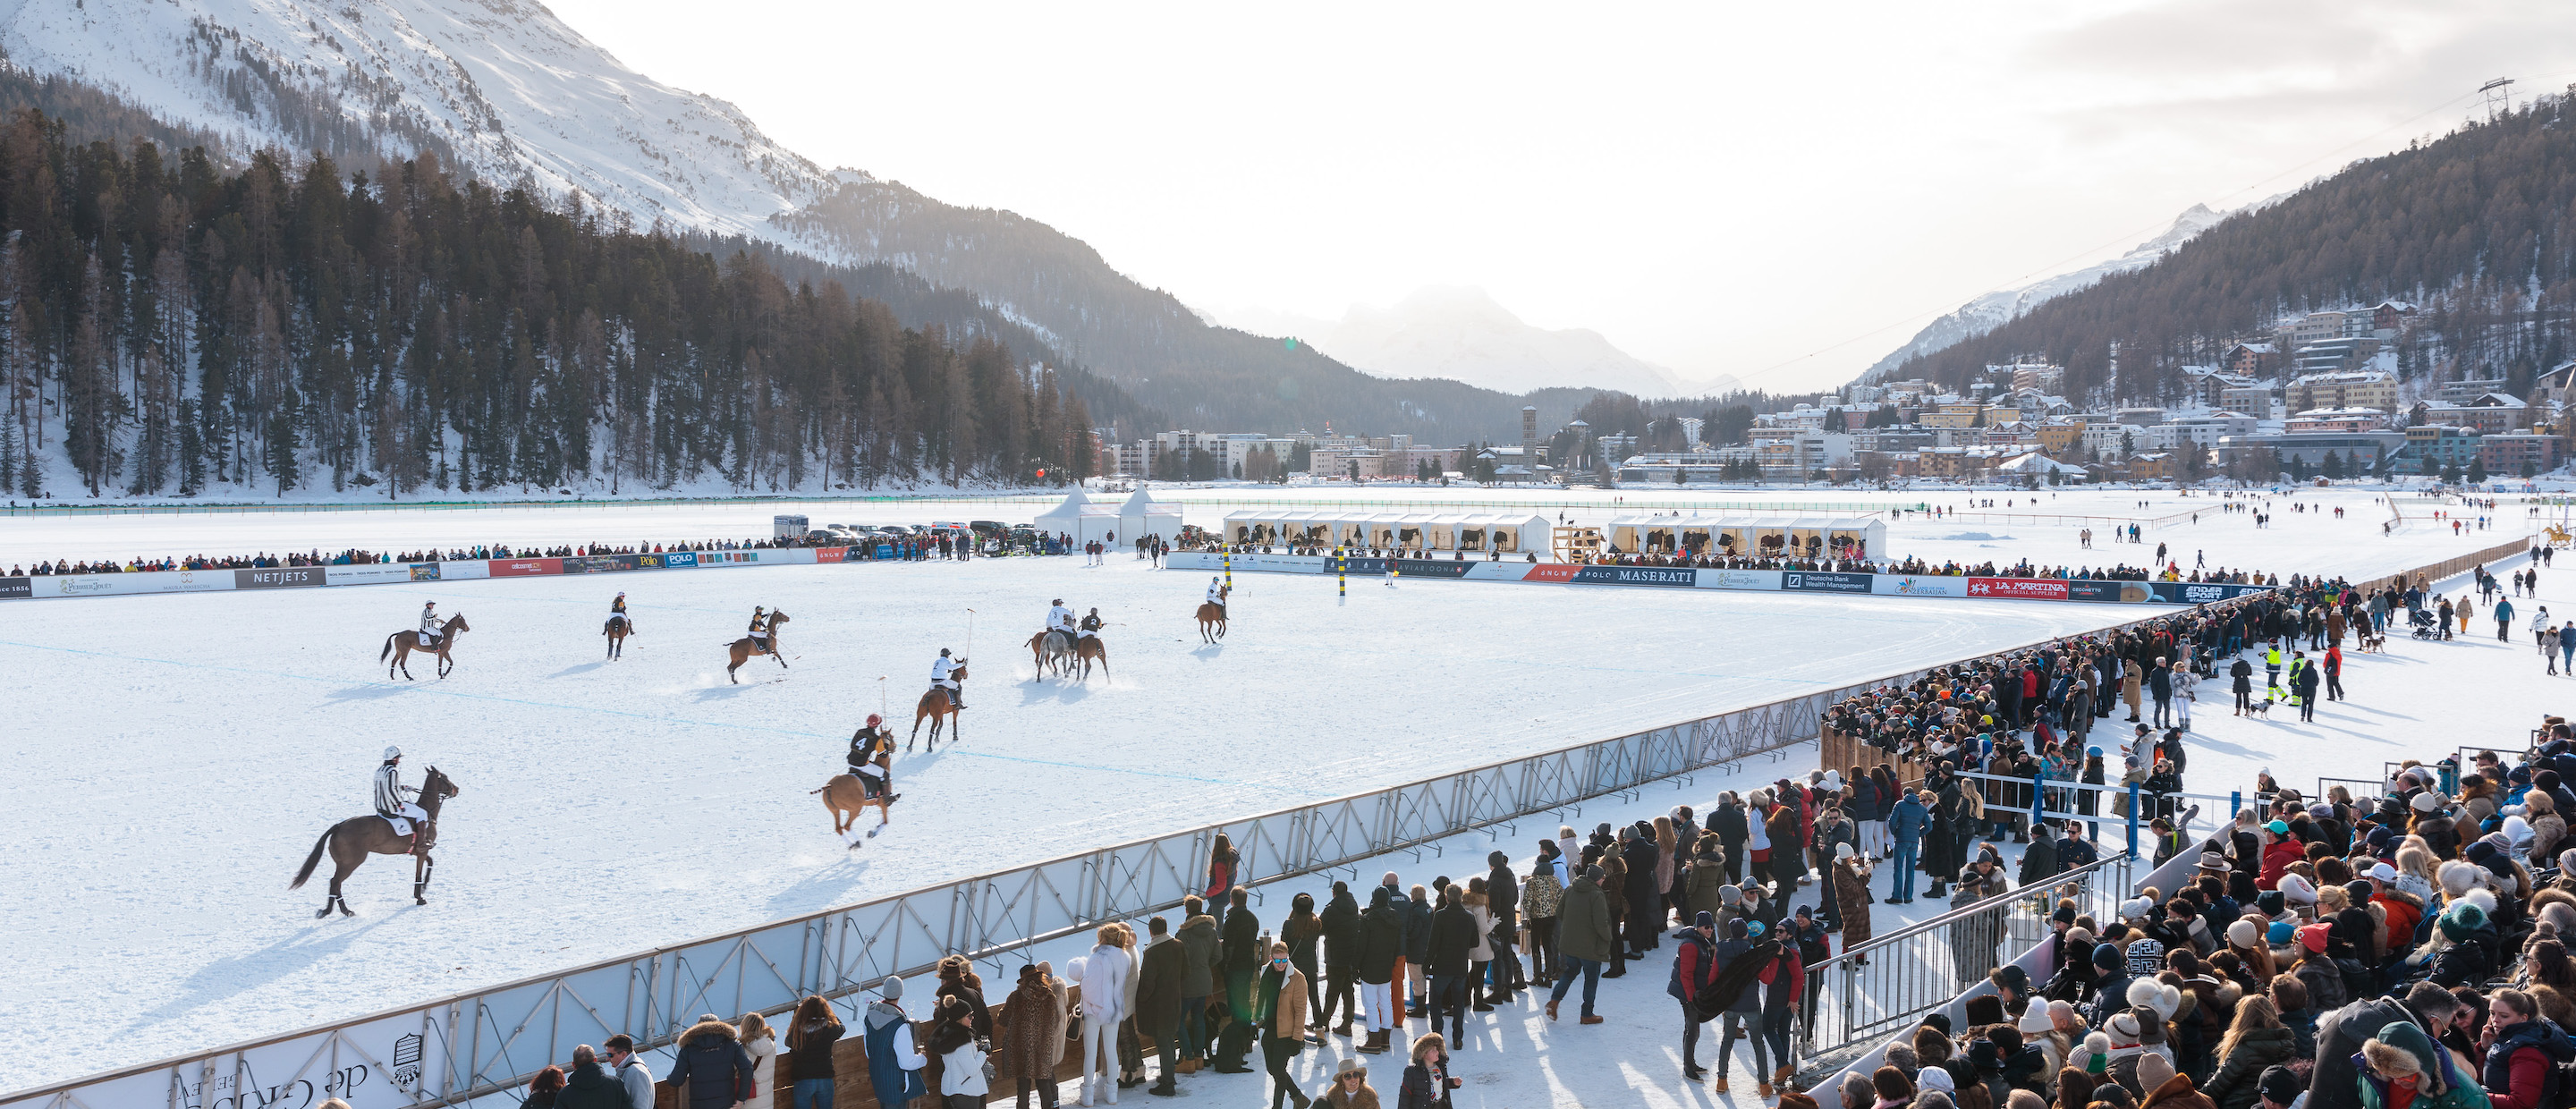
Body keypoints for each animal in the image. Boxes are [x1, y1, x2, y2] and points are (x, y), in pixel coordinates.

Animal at [291, 766, 458, 916]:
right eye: (445, 777)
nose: (456, 789)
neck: (428, 811)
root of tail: (339, 826)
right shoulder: (422, 851)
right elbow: (419, 872)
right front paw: (420, 897)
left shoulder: (418, 851)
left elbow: (431, 862)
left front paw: (424, 886)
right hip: (351, 862)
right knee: (335, 882)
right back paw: (339, 911)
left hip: (342, 863)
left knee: (335, 884)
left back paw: (336, 910)